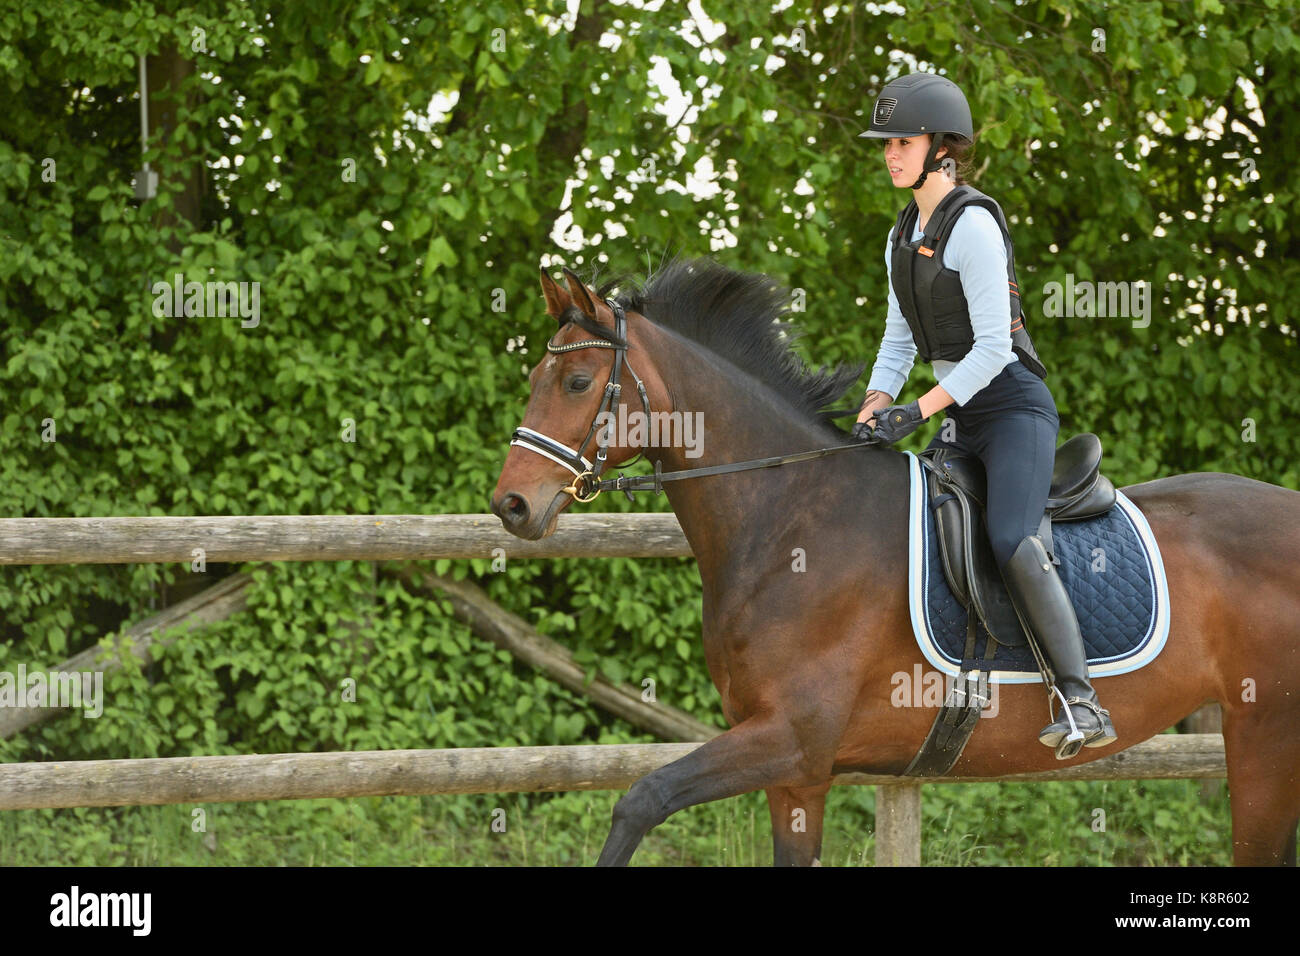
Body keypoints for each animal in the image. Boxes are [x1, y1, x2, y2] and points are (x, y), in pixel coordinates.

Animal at [488, 256, 1300, 868]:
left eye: (577, 383)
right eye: (533, 381)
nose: (511, 506)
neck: (791, 520)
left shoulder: (788, 739)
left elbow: (639, 801)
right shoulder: (798, 777)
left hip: (1266, 736)